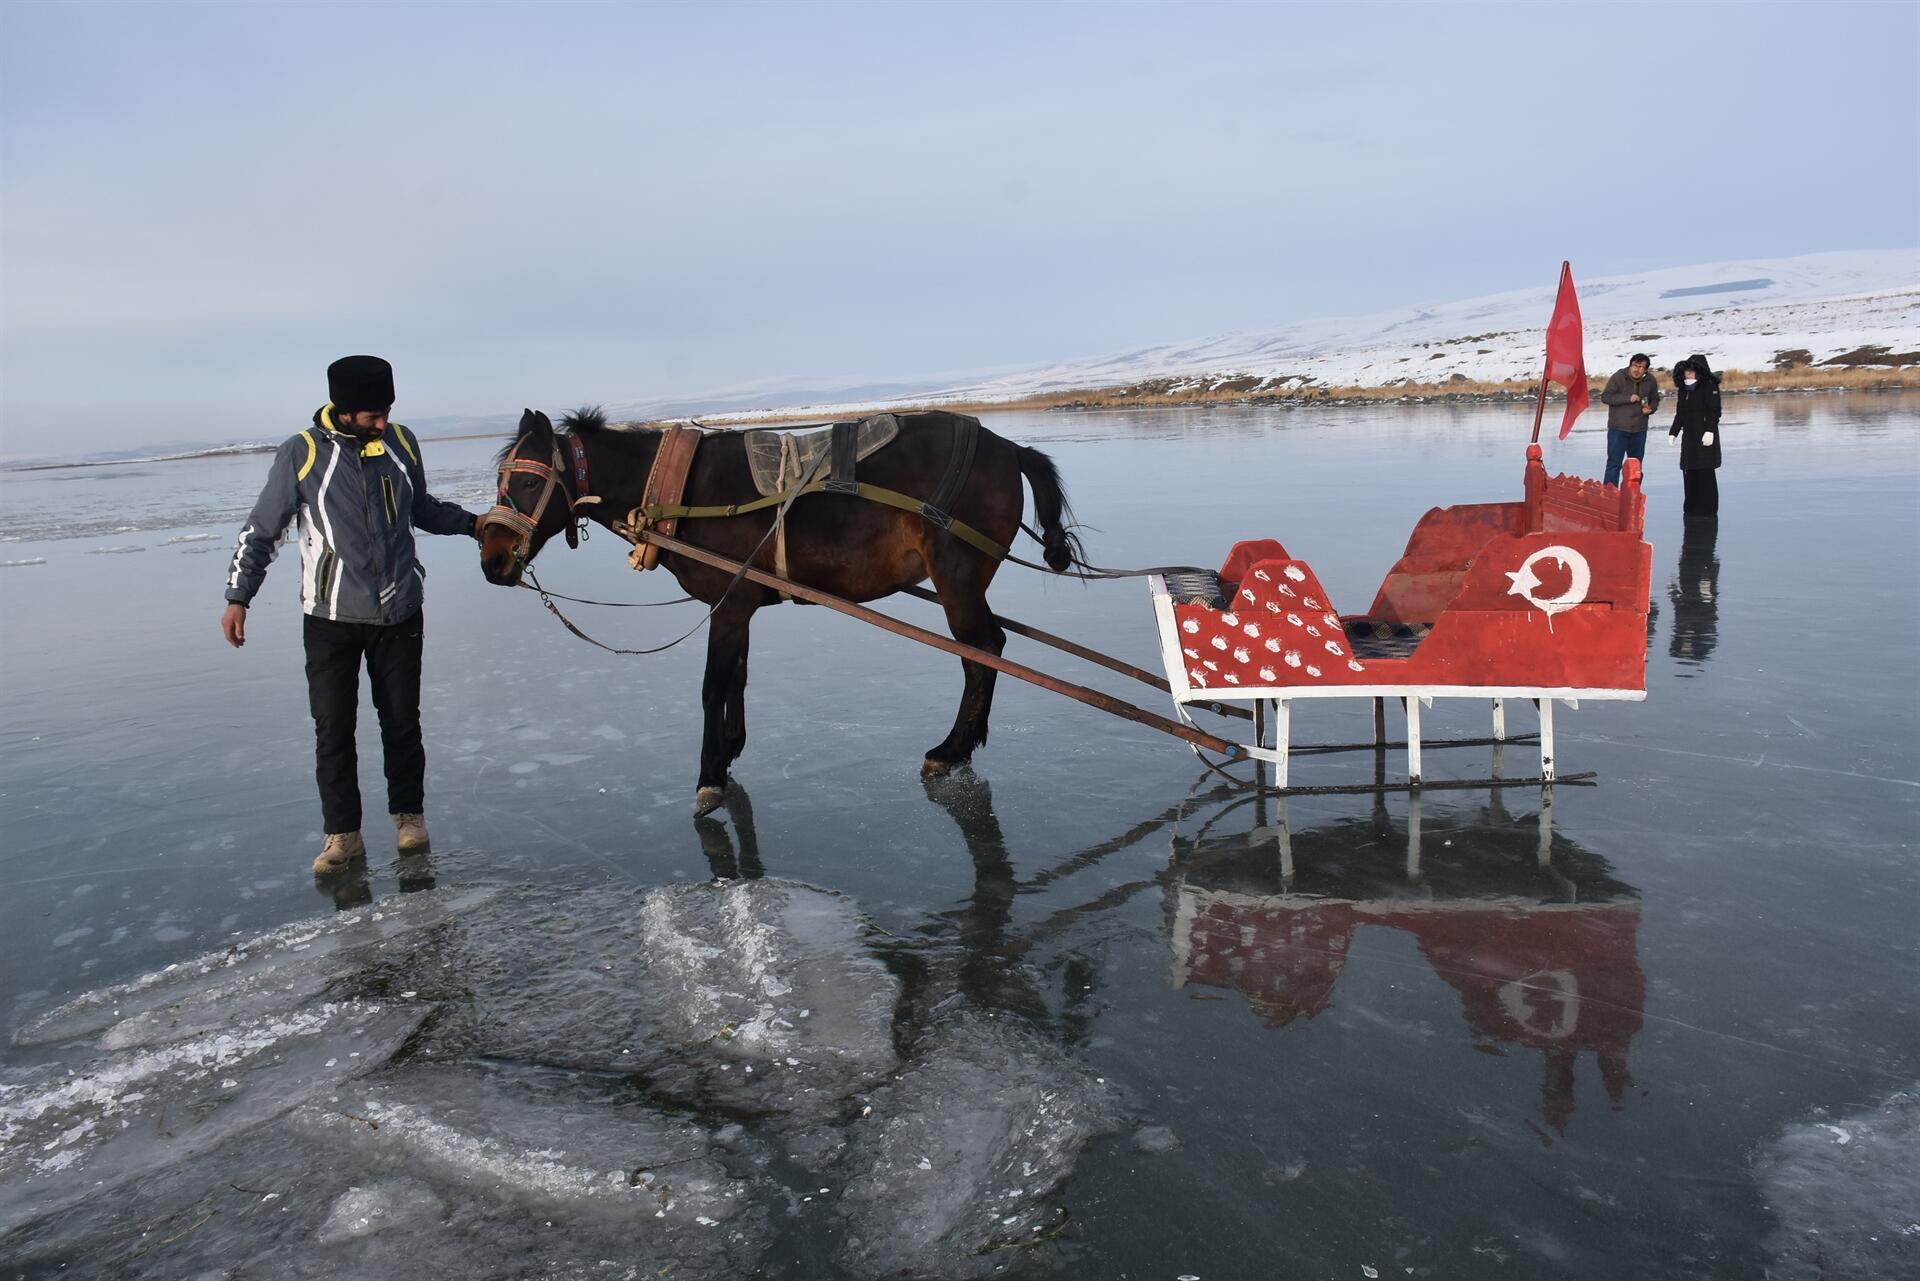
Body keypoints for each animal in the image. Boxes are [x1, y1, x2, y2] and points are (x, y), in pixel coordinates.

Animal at [478, 405, 1082, 818]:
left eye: (527, 481)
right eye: (502, 481)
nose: (492, 558)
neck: (676, 490)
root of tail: (1008, 447)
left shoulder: (726, 600)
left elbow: (711, 685)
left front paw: (709, 775)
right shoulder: (741, 601)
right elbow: (738, 676)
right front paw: (730, 749)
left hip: (957, 579)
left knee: (983, 653)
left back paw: (952, 748)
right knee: (988, 651)